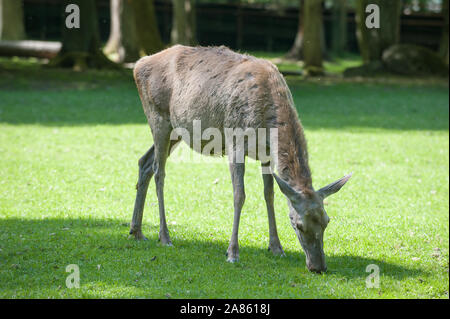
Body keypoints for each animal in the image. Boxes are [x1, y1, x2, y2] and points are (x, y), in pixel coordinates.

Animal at [127, 45, 352, 276]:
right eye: (298, 224)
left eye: (327, 221)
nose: (318, 266)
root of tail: (138, 65)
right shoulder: (235, 141)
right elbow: (239, 195)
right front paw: (232, 252)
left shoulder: (267, 153)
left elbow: (269, 194)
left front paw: (276, 247)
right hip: (158, 117)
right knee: (159, 171)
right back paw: (164, 236)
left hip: (176, 130)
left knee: (144, 162)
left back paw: (136, 231)